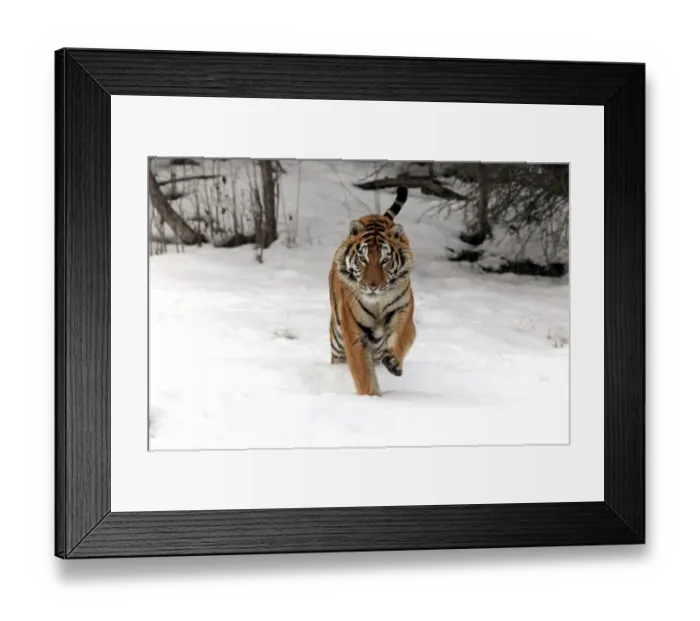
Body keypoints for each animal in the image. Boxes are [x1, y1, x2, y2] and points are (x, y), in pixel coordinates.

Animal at [328, 186, 416, 397]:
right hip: (337, 340)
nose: (373, 286)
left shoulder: (404, 313)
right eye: (363, 258)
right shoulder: (354, 334)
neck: (378, 302)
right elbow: (363, 374)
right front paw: (371, 399)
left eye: (385, 260)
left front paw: (393, 363)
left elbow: (401, 337)